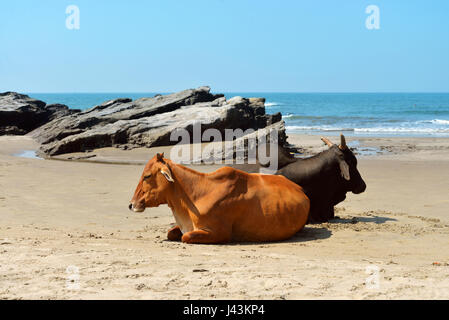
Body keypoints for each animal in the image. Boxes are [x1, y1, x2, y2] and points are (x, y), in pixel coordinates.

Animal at [128, 154, 310, 244]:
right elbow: (171, 232)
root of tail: (301, 190)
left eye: (147, 176)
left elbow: (185, 237)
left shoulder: (219, 233)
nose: (131, 205)